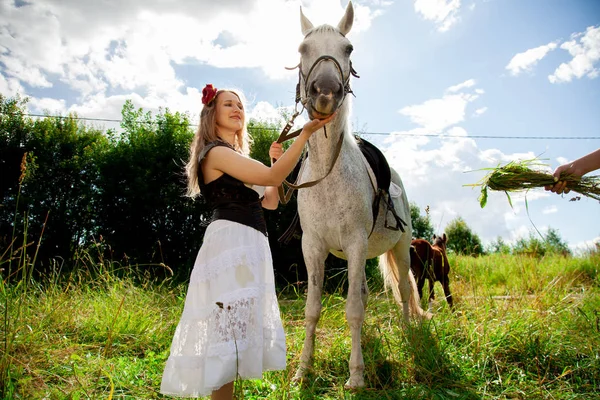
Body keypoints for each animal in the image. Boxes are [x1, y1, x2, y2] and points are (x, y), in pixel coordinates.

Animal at [290, 0, 432, 388]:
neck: (329, 174)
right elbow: (313, 309)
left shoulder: (354, 244)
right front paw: (303, 370)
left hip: (401, 249)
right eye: (302, 48)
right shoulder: (313, 248)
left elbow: (353, 310)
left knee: (403, 292)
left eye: (348, 49)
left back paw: (407, 333)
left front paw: (356, 376)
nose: (325, 93)